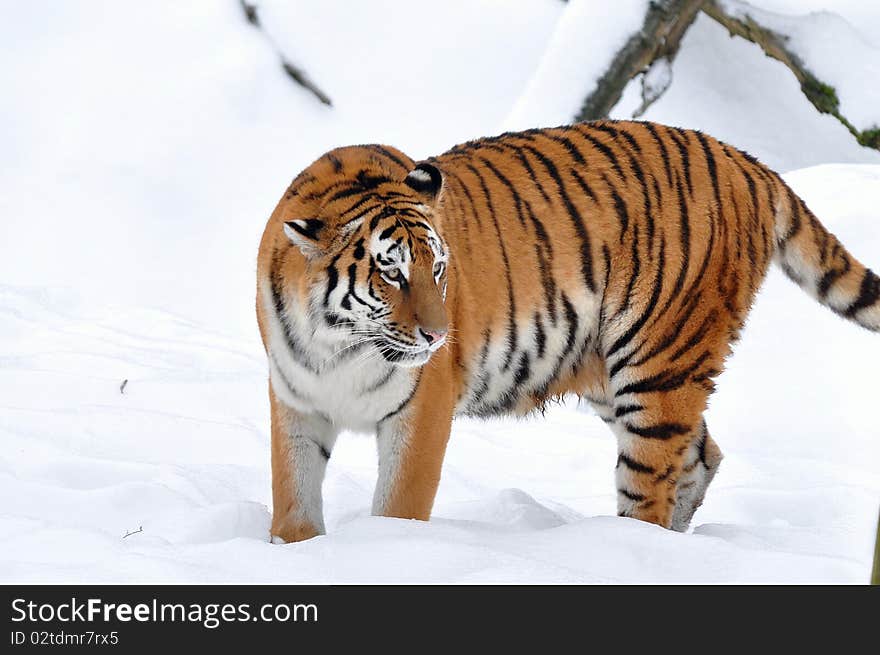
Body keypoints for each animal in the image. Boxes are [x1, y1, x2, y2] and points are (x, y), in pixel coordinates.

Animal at [253, 119, 872, 544]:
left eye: (438, 269)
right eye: (391, 273)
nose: (438, 338)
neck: (339, 347)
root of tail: (744, 160)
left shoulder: (421, 409)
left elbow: (399, 505)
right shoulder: (296, 402)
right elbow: (293, 496)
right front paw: (294, 553)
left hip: (656, 363)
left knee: (651, 484)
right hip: (611, 373)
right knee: (702, 456)